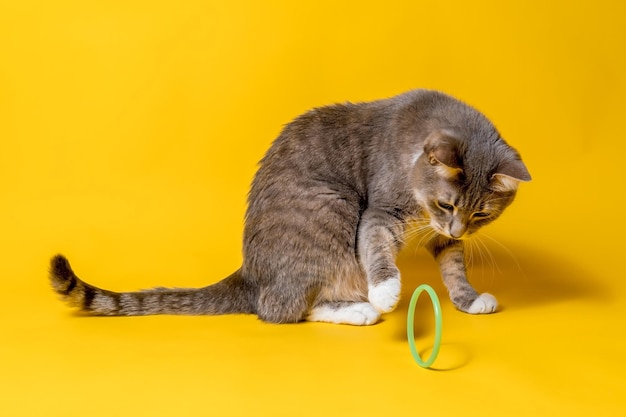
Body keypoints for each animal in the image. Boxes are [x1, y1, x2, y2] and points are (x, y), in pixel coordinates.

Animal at [48, 90, 528, 324]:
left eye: (481, 214)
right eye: (446, 202)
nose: (457, 228)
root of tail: (250, 275)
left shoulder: (437, 232)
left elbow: (452, 264)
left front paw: (468, 299)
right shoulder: (380, 210)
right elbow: (376, 246)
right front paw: (386, 289)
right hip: (332, 210)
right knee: (283, 309)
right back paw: (361, 309)